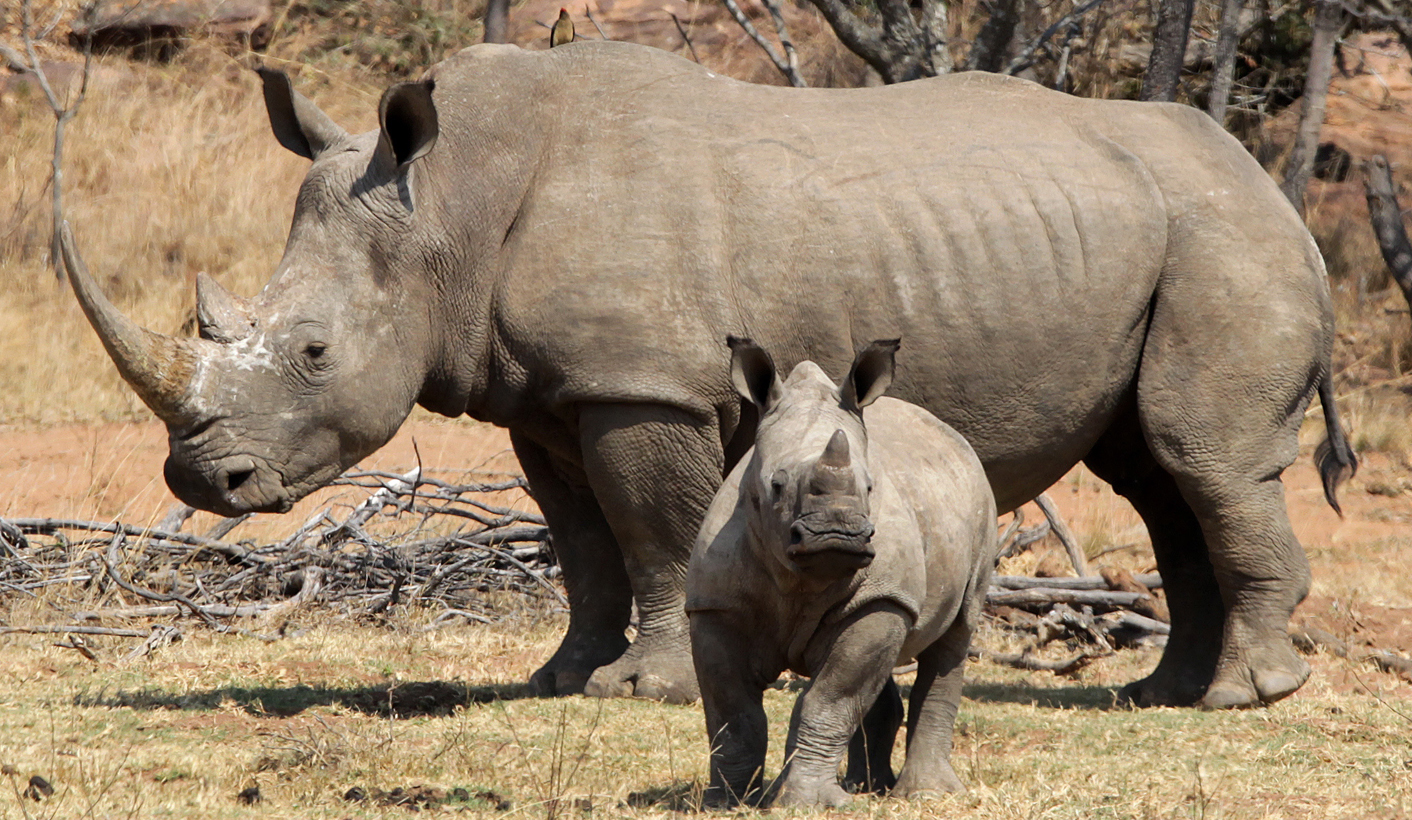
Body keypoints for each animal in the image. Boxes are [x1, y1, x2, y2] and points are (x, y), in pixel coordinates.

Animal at [63, 39, 1355, 710]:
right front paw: (556, 678)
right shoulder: (550, 391)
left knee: (1200, 457)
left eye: (315, 351)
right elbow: (580, 542)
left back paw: (1243, 697)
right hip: (1164, 238)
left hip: (1224, 243)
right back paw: (1157, 695)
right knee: (1156, 475)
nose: (205, 483)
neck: (450, 206)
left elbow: (652, 530)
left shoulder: (644, 380)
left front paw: (640, 688)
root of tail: (1277, 194)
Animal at [688, 338, 994, 808]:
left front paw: (806, 803)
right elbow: (732, 710)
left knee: (955, 634)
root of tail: (952, 435)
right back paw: (866, 787)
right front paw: (725, 801)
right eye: (776, 486)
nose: (838, 533)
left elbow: (830, 699)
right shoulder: (715, 605)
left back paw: (925, 794)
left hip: (981, 505)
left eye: (869, 487)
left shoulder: (883, 595)